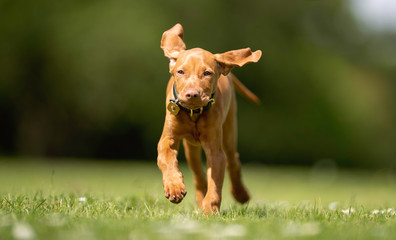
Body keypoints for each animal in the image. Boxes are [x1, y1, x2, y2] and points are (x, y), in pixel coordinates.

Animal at [156, 23, 262, 214]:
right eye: (180, 72)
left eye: (207, 73)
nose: (192, 94)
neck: (193, 113)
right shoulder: (167, 139)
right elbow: (167, 160)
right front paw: (174, 187)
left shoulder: (216, 151)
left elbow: (215, 184)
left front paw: (210, 211)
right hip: (190, 148)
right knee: (198, 175)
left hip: (229, 133)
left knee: (233, 161)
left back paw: (240, 194)